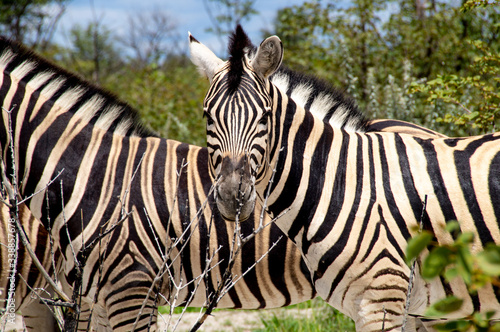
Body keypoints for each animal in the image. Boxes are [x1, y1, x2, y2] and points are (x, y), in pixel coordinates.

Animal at [189, 24, 500, 330]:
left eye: (265, 117)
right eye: (207, 117)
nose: (233, 198)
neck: (341, 183)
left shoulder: (381, 300)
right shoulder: (405, 308)